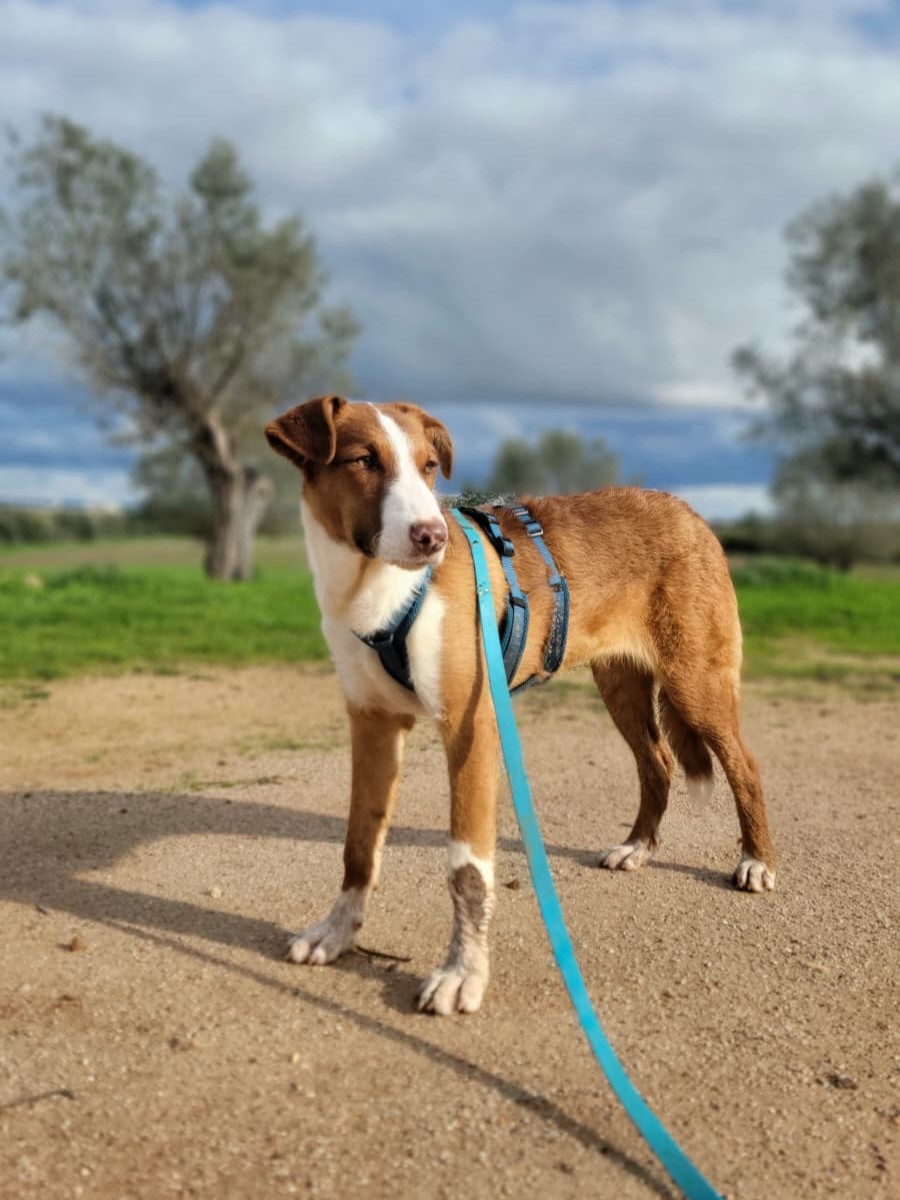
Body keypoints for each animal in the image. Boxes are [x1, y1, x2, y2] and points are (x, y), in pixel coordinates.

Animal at [265, 395, 776, 1015]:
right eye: (364, 460)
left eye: (429, 466)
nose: (432, 536)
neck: (378, 591)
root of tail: (689, 511)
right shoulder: (373, 725)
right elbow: (359, 845)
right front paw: (337, 934)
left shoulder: (471, 728)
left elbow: (467, 869)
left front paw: (462, 973)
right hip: (621, 686)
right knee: (657, 763)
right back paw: (637, 848)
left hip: (695, 683)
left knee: (744, 766)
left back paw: (756, 861)